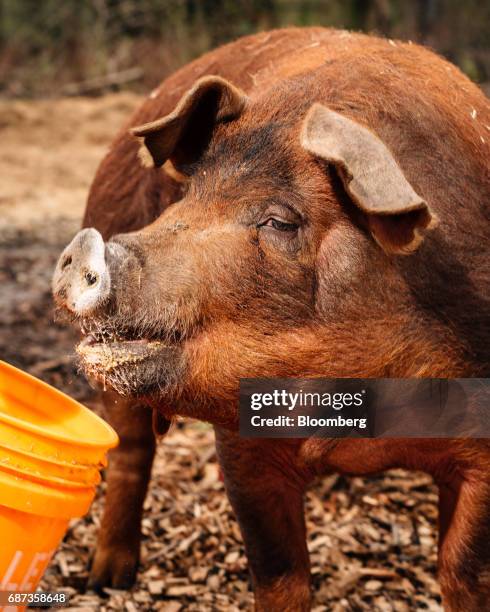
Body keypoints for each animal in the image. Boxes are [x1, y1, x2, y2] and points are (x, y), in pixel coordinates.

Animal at [53, 27, 490, 612]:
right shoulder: (242, 443)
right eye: (189, 196)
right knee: (128, 449)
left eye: (281, 220)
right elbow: (279, 573)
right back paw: (105, 581)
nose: (86, 248)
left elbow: (466, 573)